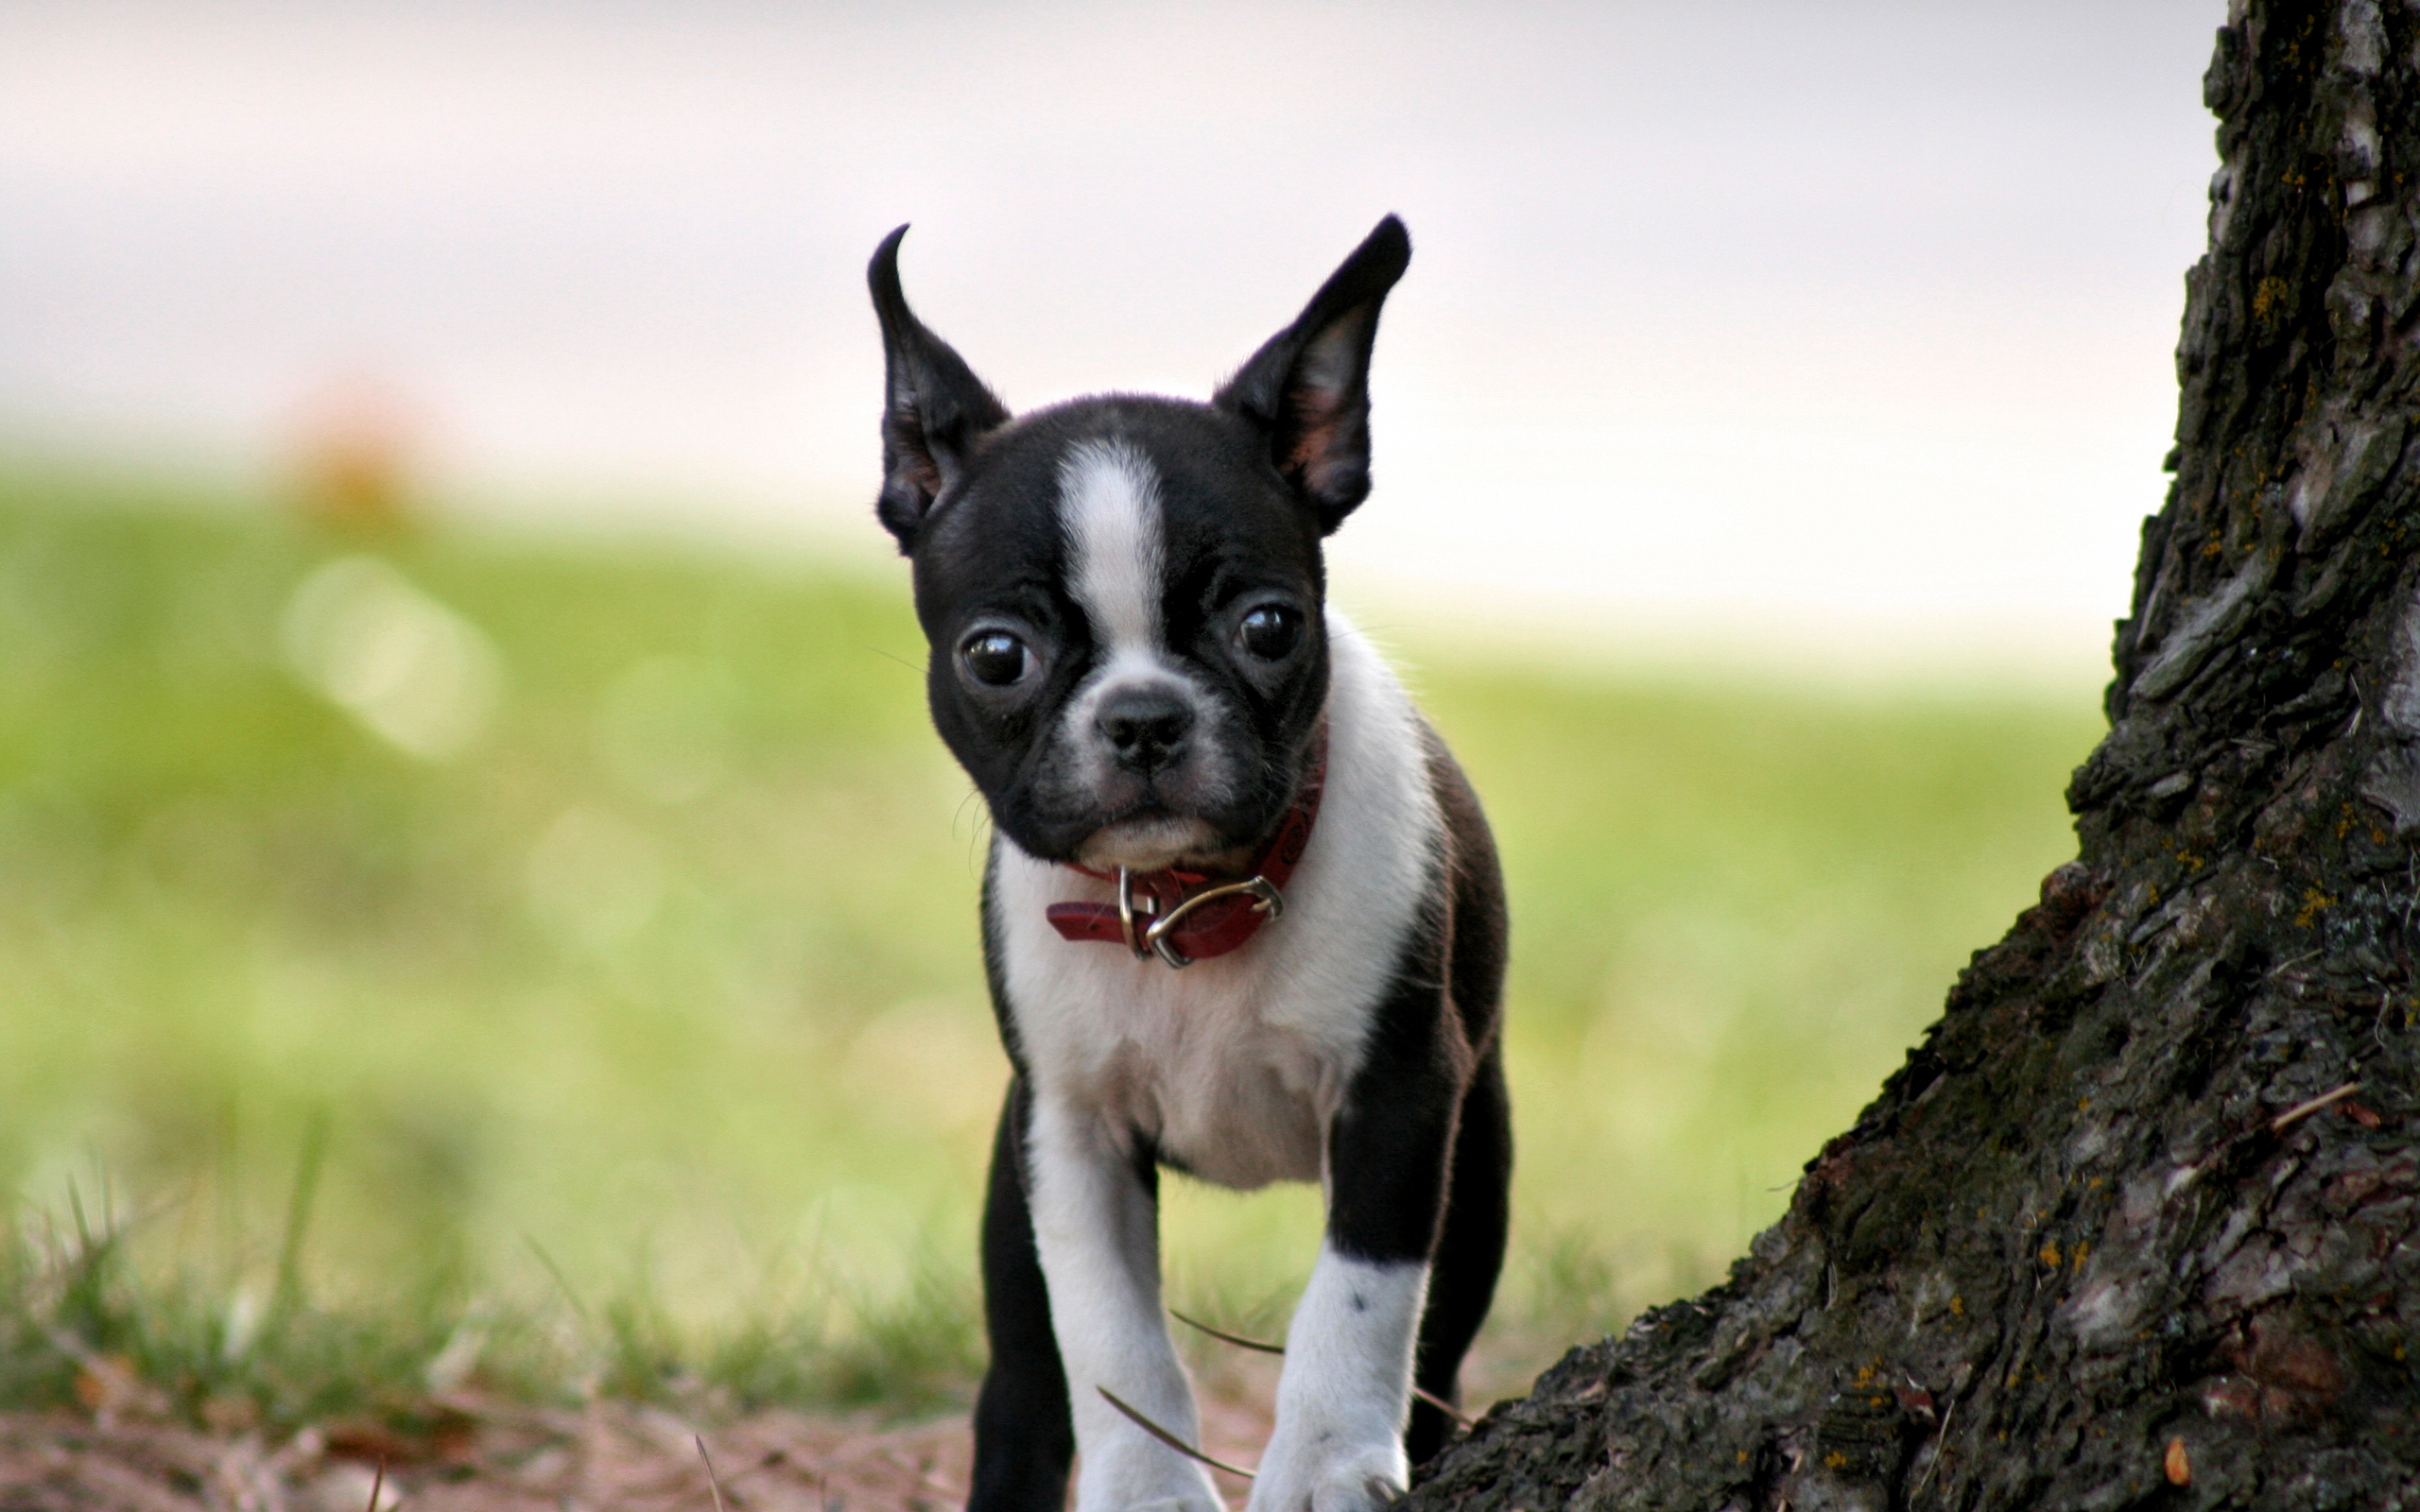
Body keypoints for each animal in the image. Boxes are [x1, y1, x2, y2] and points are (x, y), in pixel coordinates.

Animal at [871, 213, 1510, 1509]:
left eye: (1267, 627)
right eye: (996, 655)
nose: (1144, 717)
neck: (1187, 904)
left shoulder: (1405, 1094)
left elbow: (1358, 1295)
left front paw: (1322, 1459)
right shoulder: (1066, 1129)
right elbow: (1108, 1330)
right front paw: (1147, 1487)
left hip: (1483, 1155)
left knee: (1441, 1338)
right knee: (1023, 1367)